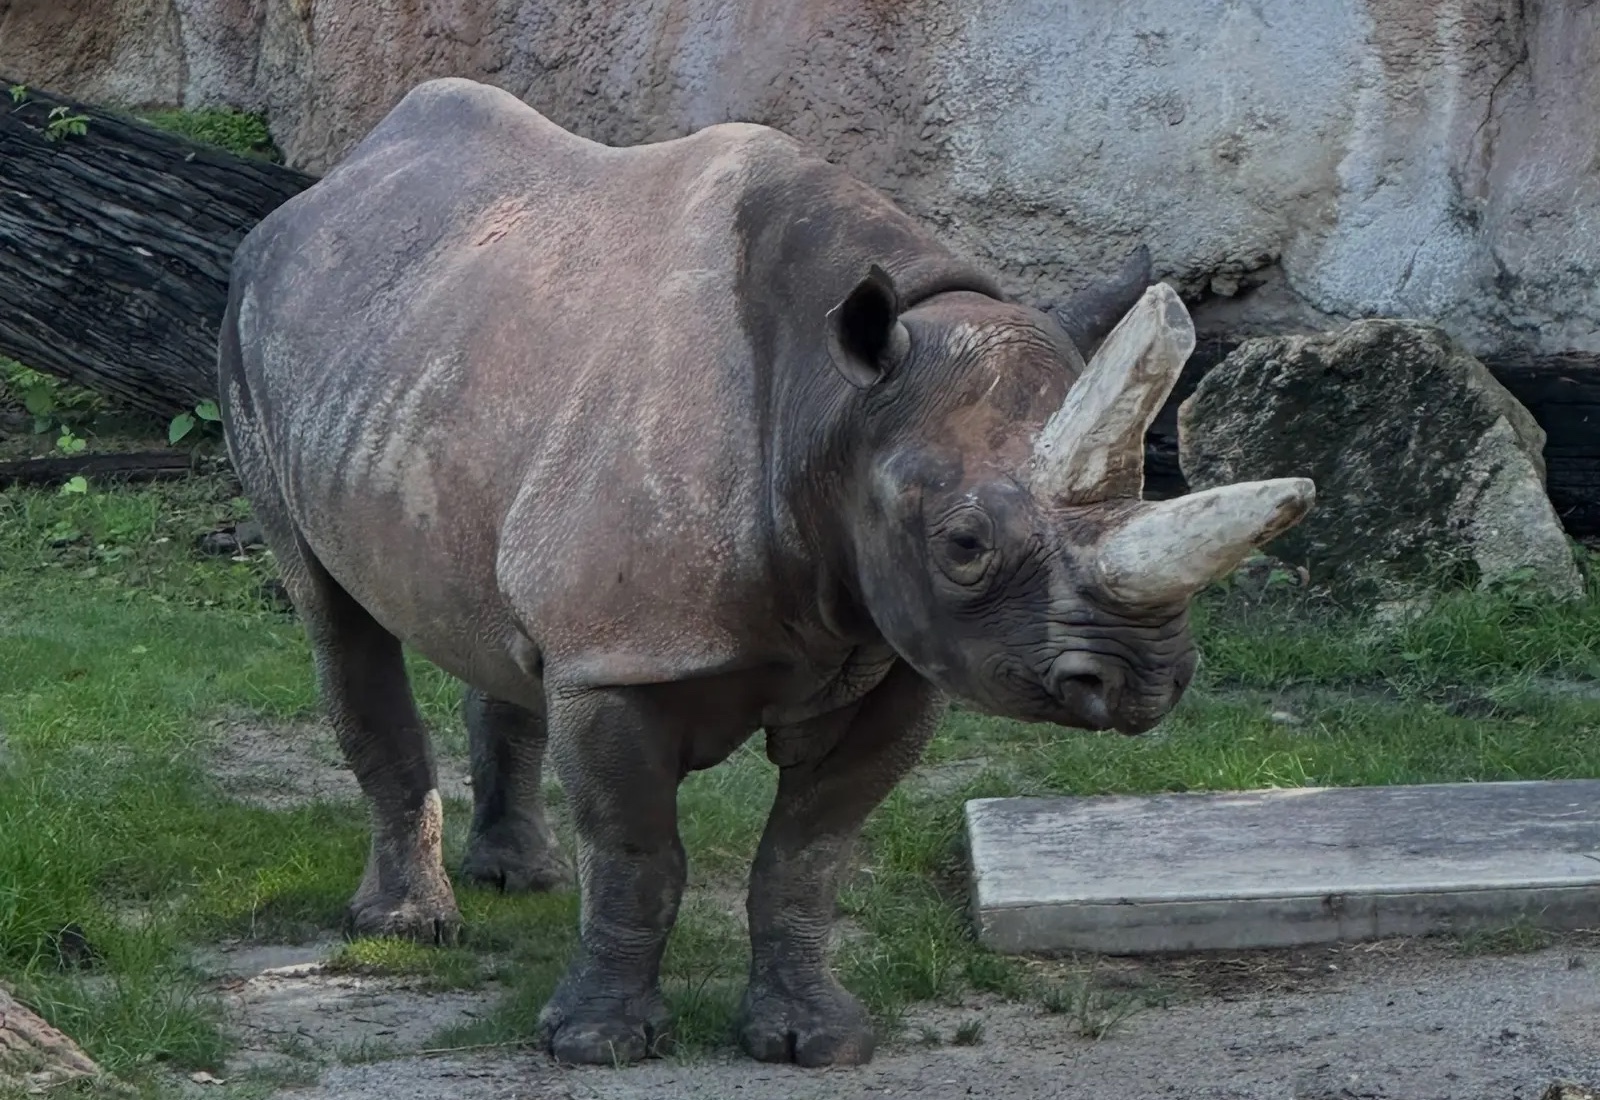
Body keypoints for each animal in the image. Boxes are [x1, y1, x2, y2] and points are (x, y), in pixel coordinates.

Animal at [219, 77, 1313, 1068]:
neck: (836, 402)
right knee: (333, 613)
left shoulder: (888, 655)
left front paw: (813, 1039)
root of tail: (326, 190)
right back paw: (408, 927)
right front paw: (598, 1044)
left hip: (435, 352)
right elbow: (638, 855)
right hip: (248, 326)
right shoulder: (625, 658)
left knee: (505, 627)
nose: (1142, 681)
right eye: (963, 545)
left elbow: (807, 855)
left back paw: (520, 876)